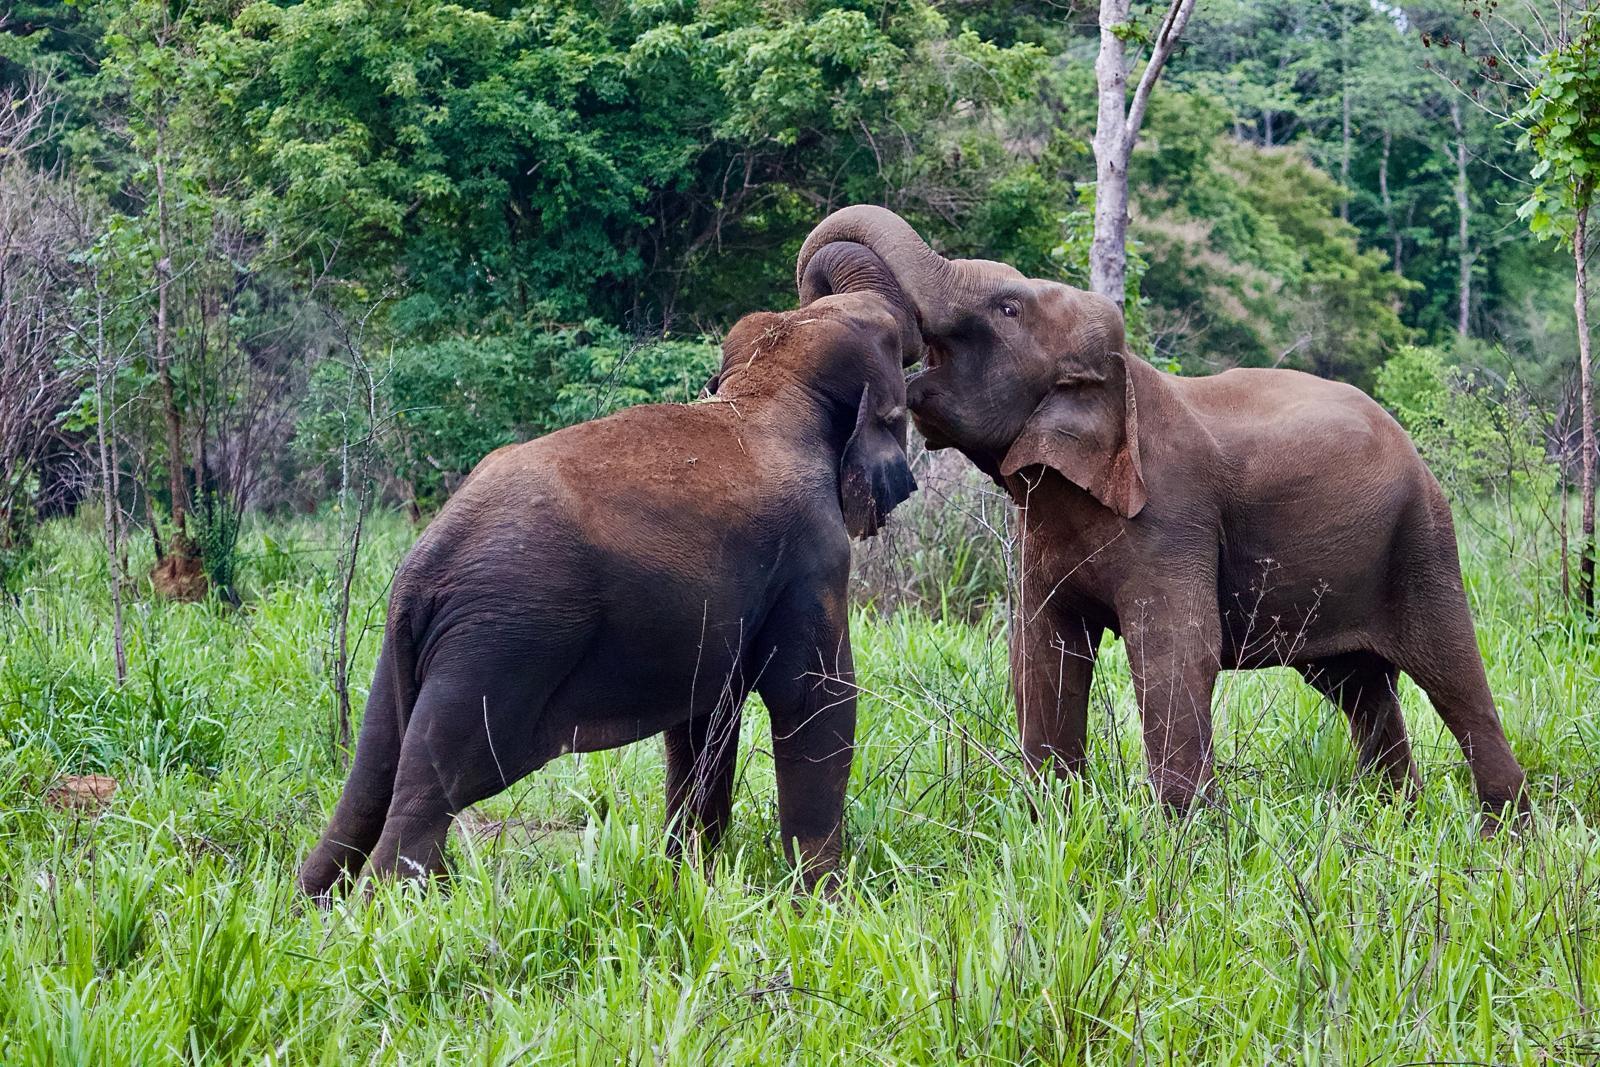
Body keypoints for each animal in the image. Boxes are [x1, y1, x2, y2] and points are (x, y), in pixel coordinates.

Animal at [297, 240, 919, 899]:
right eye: (892, 346)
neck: (771, 383)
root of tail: (427, 562)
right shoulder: (812, 557)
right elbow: (815, 701)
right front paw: (824, 900)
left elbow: (706, 719)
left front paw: (690, 882)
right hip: (500, 647)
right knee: (424, 801)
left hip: (409, 653)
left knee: (367, 788)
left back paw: (310, 905)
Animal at [797, 207, 1529, 822]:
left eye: (1008, 308)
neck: (1125, 378)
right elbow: (1042, 650)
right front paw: (1050, 820)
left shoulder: (1174, 517)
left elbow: (1174, 651)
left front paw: (1186, 841)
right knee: (1359, 687)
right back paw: (1398, 818)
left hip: (1422, 535)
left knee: (1452, 674)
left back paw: (1506, 834)